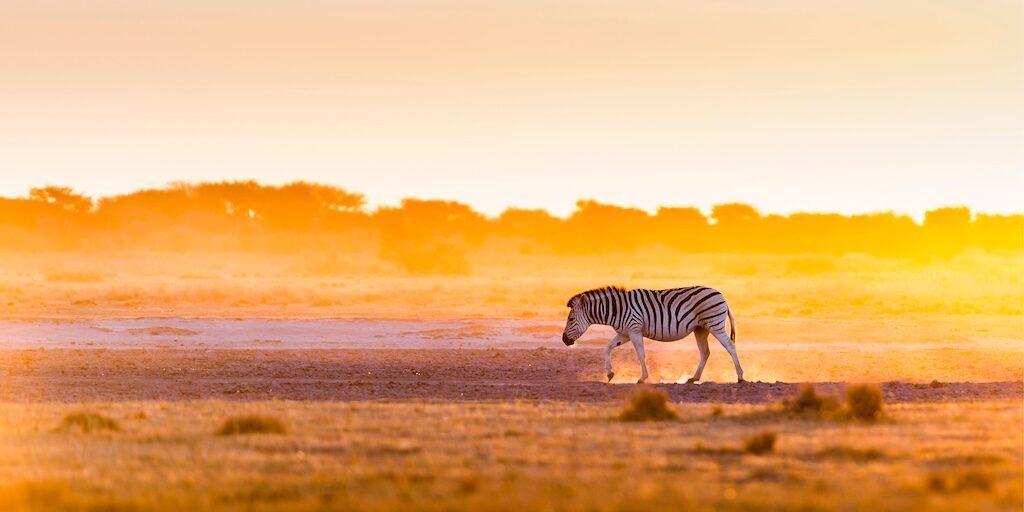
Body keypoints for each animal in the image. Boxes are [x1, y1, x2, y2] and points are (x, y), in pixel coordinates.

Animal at [560, 286, 744, 383]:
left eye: (570, 319)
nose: (564, 340)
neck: (616, 309)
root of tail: (721, 295)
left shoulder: (635, 330)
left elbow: (641, 354)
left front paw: (643, 378)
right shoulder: (624, 333)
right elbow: (607, 348)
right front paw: (610, 373)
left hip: (715, 324)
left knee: (730, 346)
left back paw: (740, 376)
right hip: (700, 329)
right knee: (705, 352)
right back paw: (694, 378)